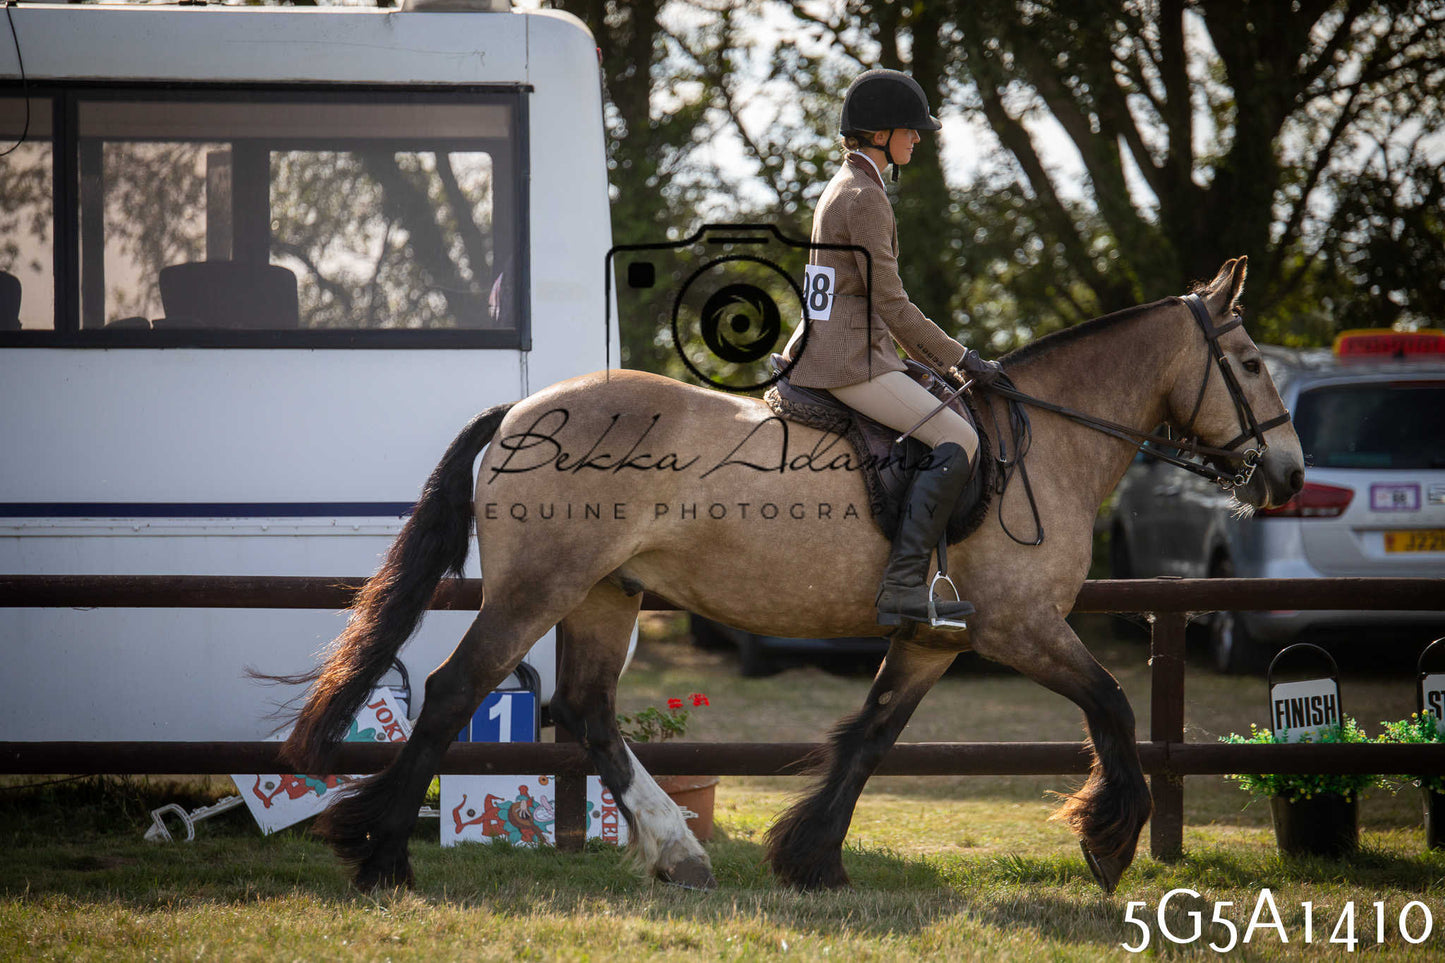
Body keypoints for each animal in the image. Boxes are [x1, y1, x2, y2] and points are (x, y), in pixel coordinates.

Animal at [275, 256, 1303, 894]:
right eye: (1251, 364)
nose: (1287, 476)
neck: (1044, 440)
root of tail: (524, 411)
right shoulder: (1018, 625)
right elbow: (1113, 706)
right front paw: (1107, 839)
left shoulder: (935, 637)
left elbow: (870, 736)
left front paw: (810, 858)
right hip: (540, 589)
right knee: (458, 690)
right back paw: (380, 855)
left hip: (607, 593)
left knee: (587, 710)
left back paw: (678, 854)